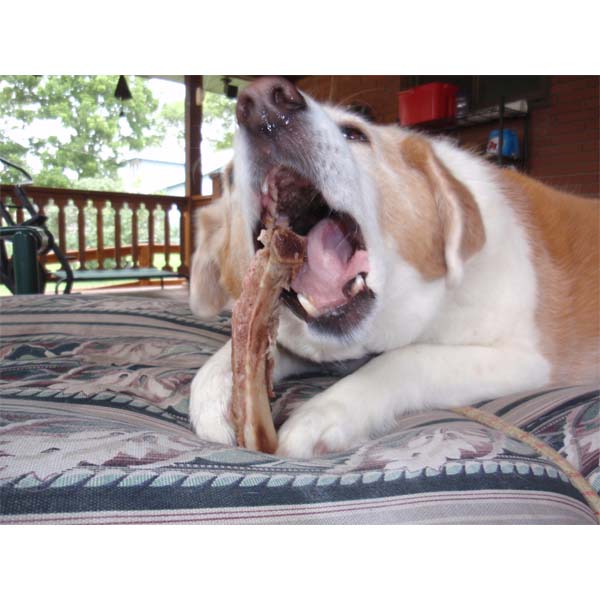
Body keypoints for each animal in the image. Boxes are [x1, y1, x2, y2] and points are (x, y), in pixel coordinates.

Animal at [189, 76, 599, 459]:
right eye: (228, 176)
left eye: (354, 133)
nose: (263, 105)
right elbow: (234, 351)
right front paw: (216, 393)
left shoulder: (526, 360)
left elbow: (405, 358)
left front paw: (324, 411)